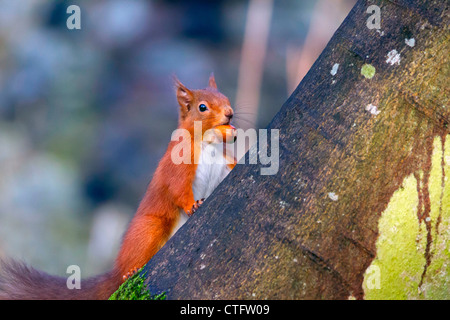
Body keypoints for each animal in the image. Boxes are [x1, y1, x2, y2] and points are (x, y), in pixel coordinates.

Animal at [0, 74, 237, 298]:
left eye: (226, 97)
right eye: (202, 107)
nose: (230, 113)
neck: (209, 143)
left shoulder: (224, 163)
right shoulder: (178, 164)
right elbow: (178, 188)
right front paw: (191, 205)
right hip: (150, 230)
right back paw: (130, 271)